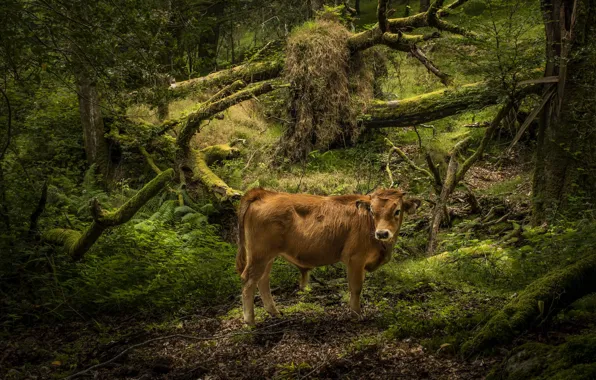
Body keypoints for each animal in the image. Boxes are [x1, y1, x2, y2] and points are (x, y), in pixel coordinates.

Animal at [235, 187, 422, 324]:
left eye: (397, 211)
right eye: (372, 211)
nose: (382, 233)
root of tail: (264, 193)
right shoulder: (355, 259)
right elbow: (356, 288)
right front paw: (356, 315)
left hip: (267, 257)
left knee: (262, 280)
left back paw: (274, 312)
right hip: (259, 256)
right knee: (248, 281)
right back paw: (250, 321)